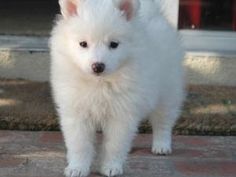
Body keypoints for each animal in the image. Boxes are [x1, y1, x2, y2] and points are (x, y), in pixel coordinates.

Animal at [50, 0, 184, 176]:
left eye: (114, 44)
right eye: (83, 44)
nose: (98, 66)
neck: (99, 83)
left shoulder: (121, 115)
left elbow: (114, 144)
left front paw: (111, 167)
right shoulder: (77, 113)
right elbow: (80, 145)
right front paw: (77, 168)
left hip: (168, 91)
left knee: (163, 121)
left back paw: (161, 145)